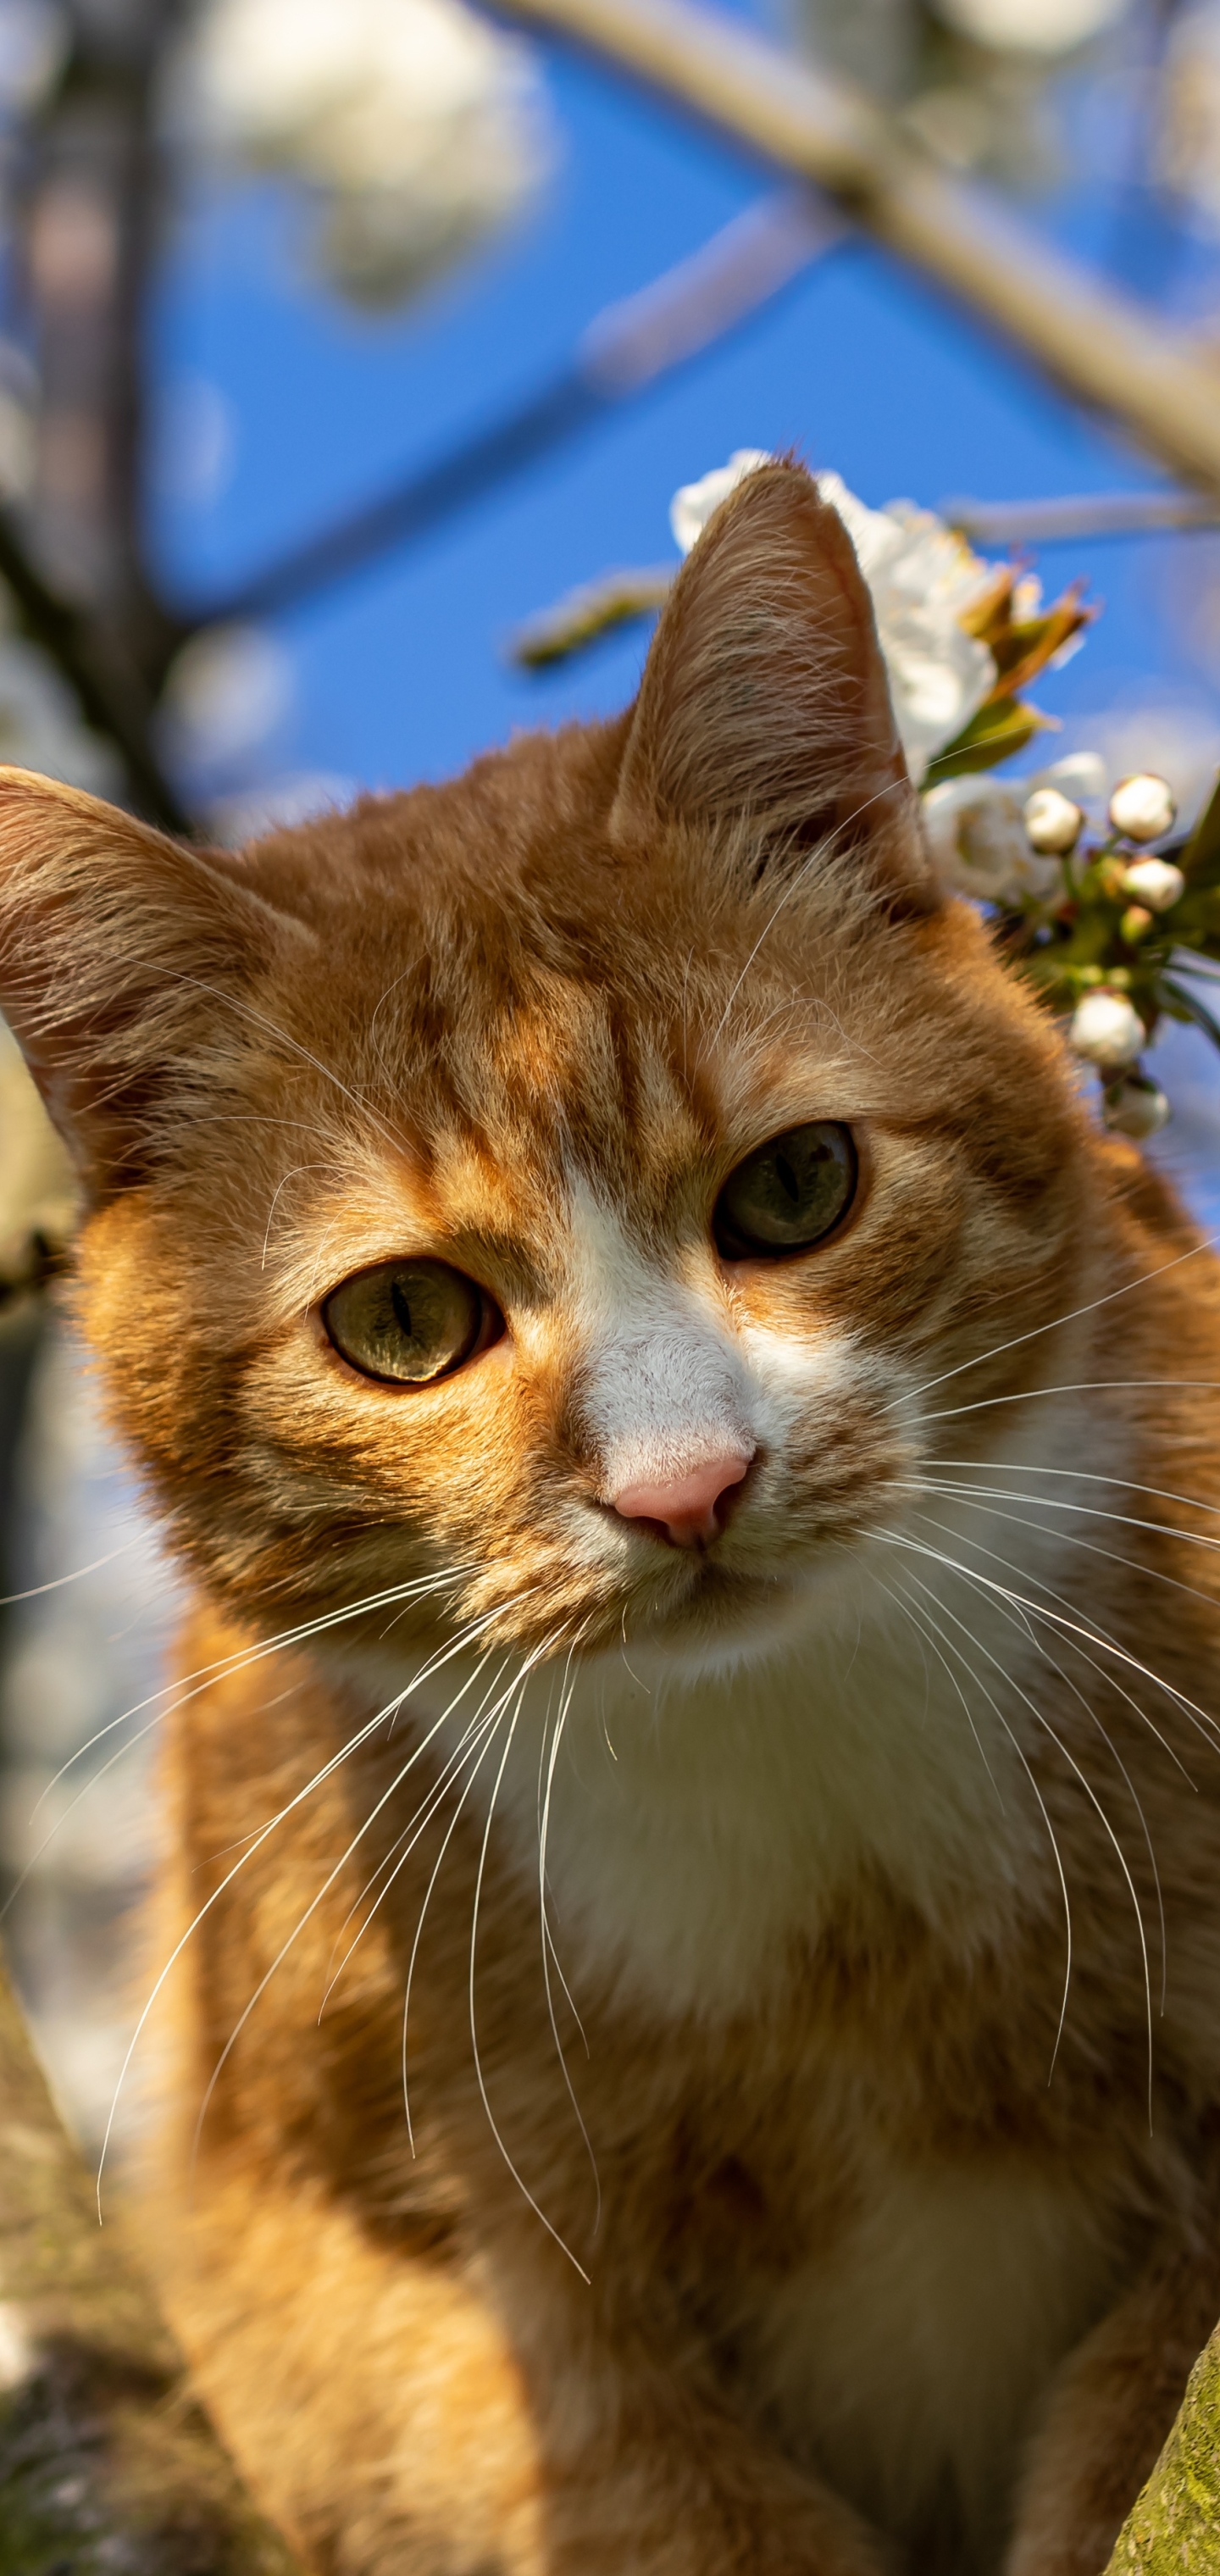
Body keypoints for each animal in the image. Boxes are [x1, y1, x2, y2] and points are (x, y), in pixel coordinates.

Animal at [2, 464, 1220, 2576]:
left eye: (797, 1187)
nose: (686, 1485)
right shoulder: (353, 2284)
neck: (823, 1894)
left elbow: (1135, 2412)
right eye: (406, 1323)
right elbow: (656, 2500)